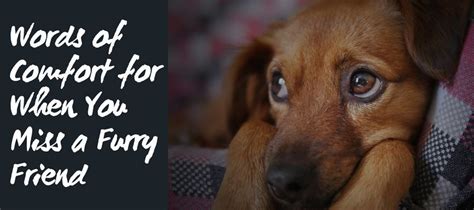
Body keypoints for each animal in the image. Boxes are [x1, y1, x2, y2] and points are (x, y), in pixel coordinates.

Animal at [194, 0, 472, 210]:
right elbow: (251, 127)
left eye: (362, 82)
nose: (282, 182)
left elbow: (393, 150)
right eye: (278, 84)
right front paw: (240, 198)